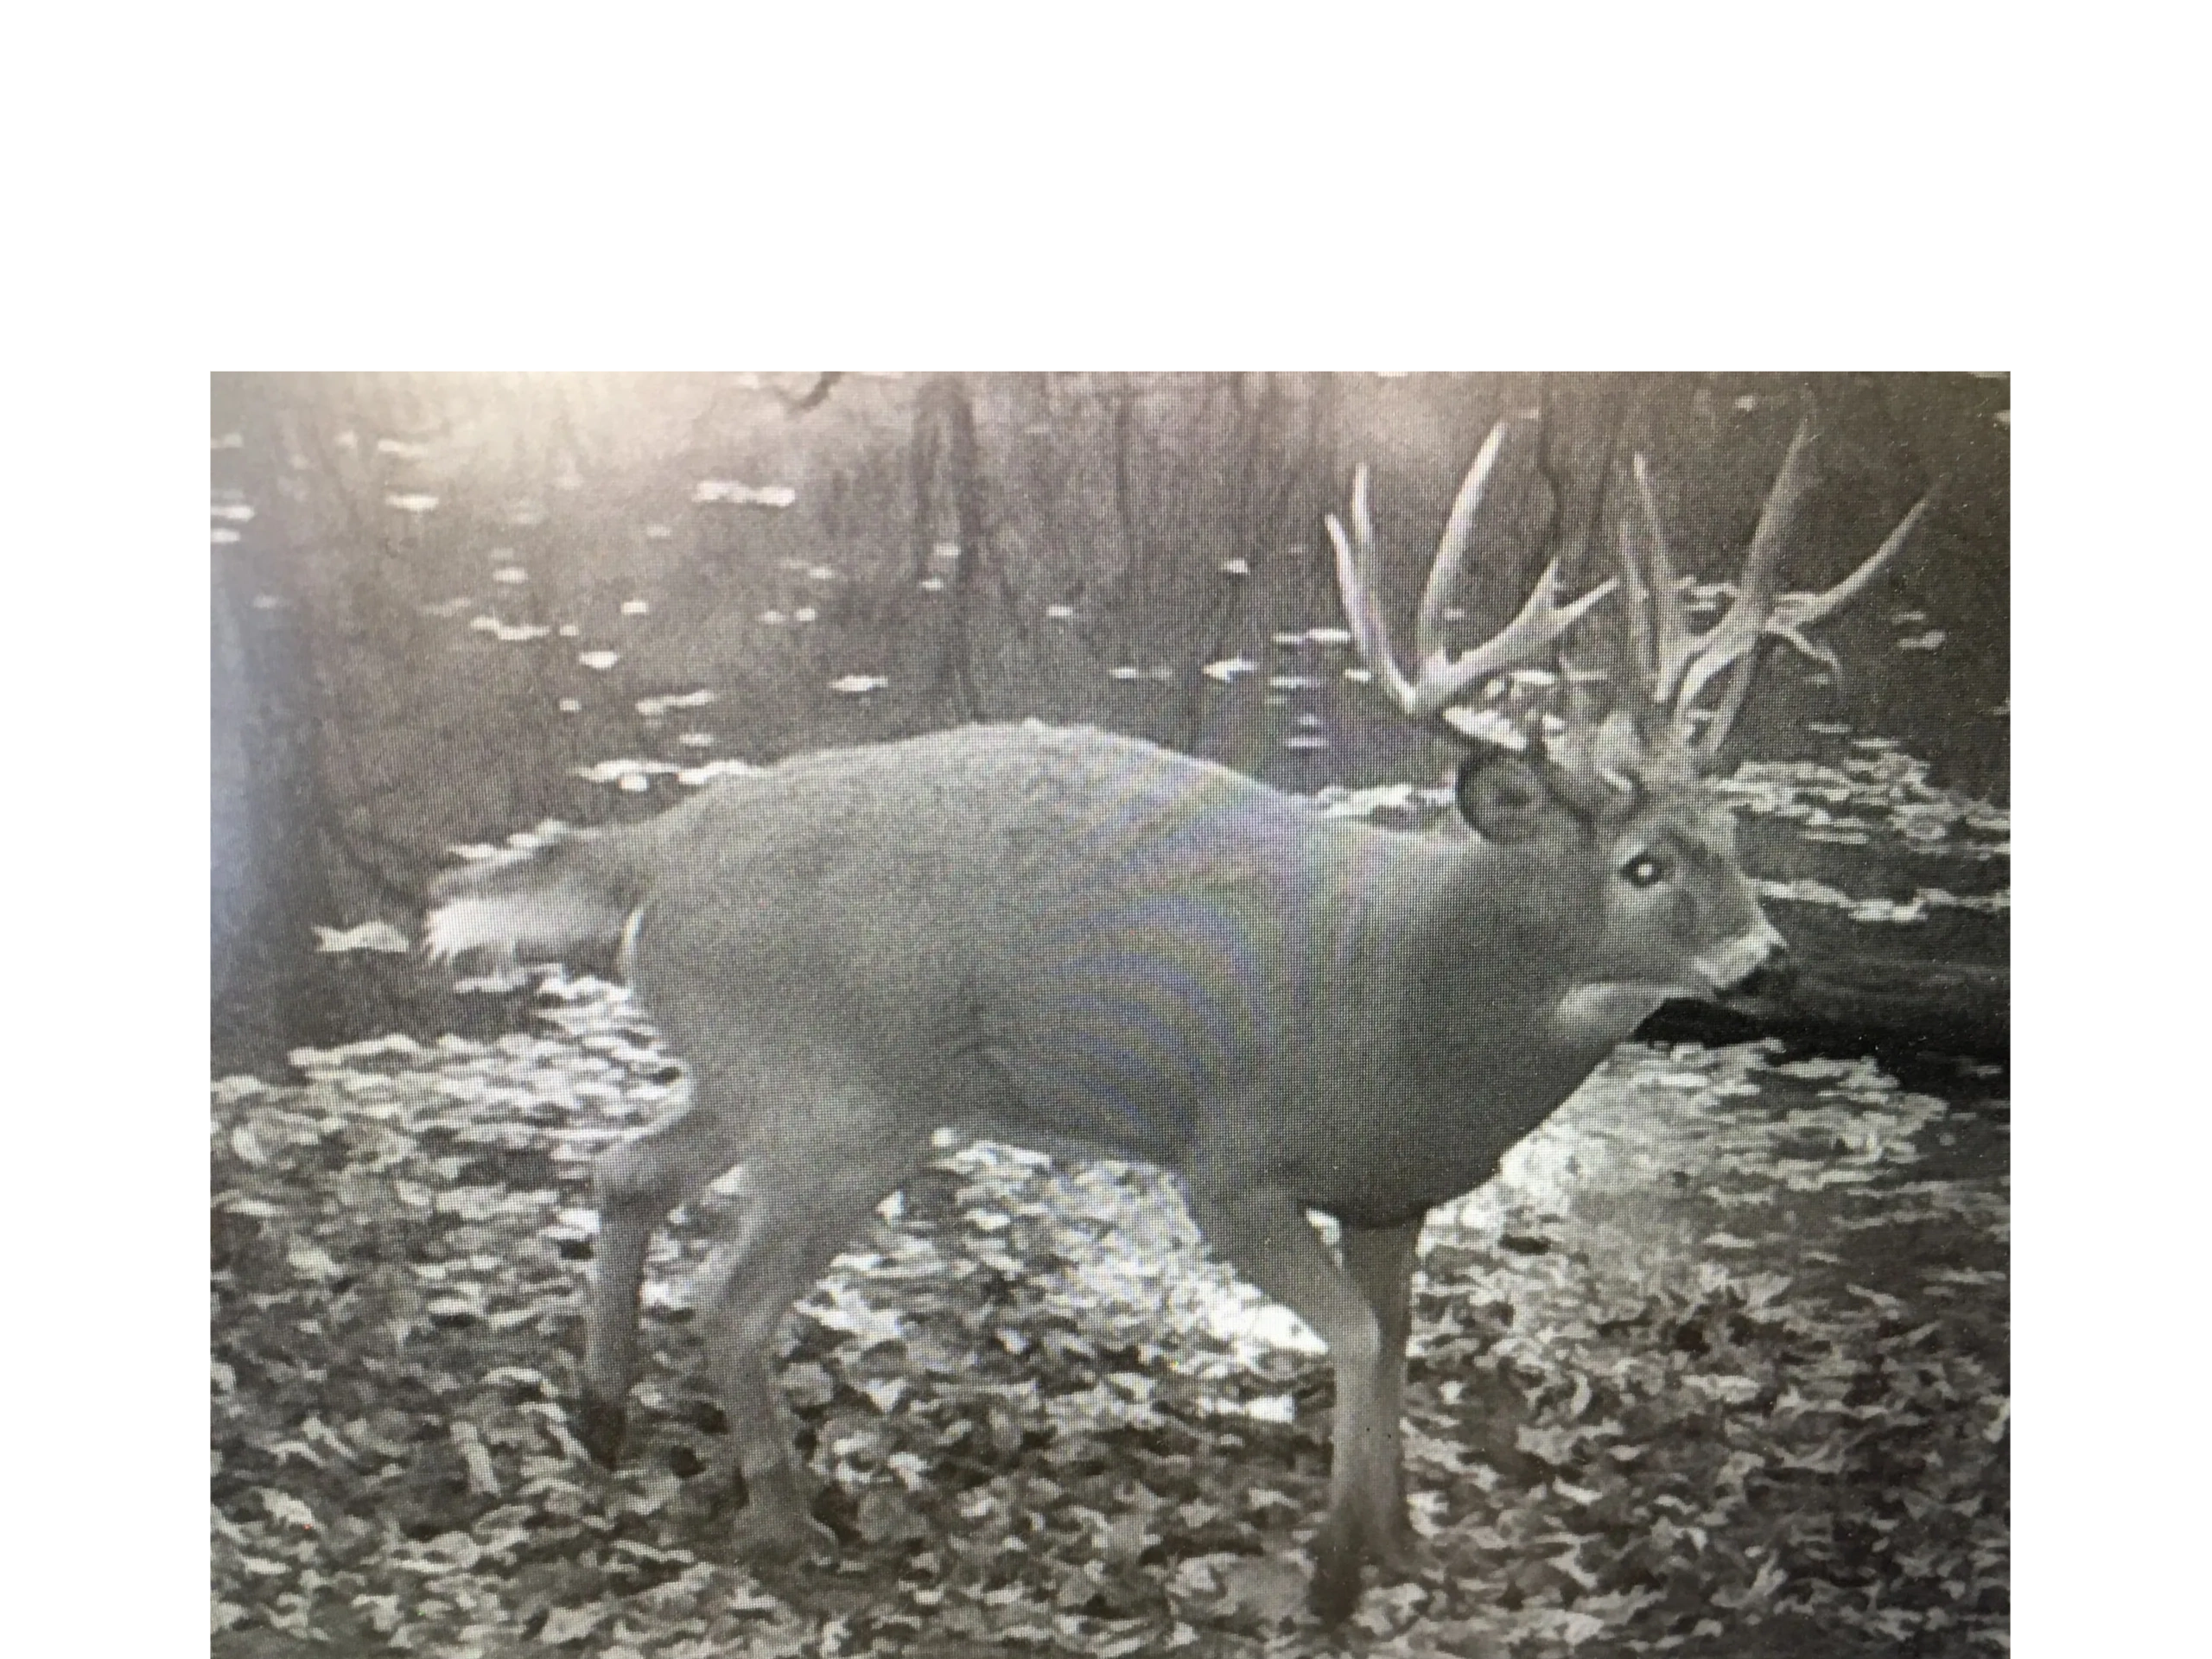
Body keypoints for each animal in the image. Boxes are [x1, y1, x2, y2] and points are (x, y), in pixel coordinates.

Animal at [424, 416, 1926, 1621]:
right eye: (1643, 867)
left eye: (1731, 837)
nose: (1771, 961)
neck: (1419, 993)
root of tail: (659, 851)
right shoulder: (1230, 1160)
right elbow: (1356, 1343)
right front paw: (1333, 1574)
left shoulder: (1398, 1190)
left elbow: (1397, 1346)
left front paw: (1400, 1547)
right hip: (839, 1099)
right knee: (729, 1302)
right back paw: (792, 1524)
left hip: (766, 1071)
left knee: (624, 1170)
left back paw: (604, 1419)